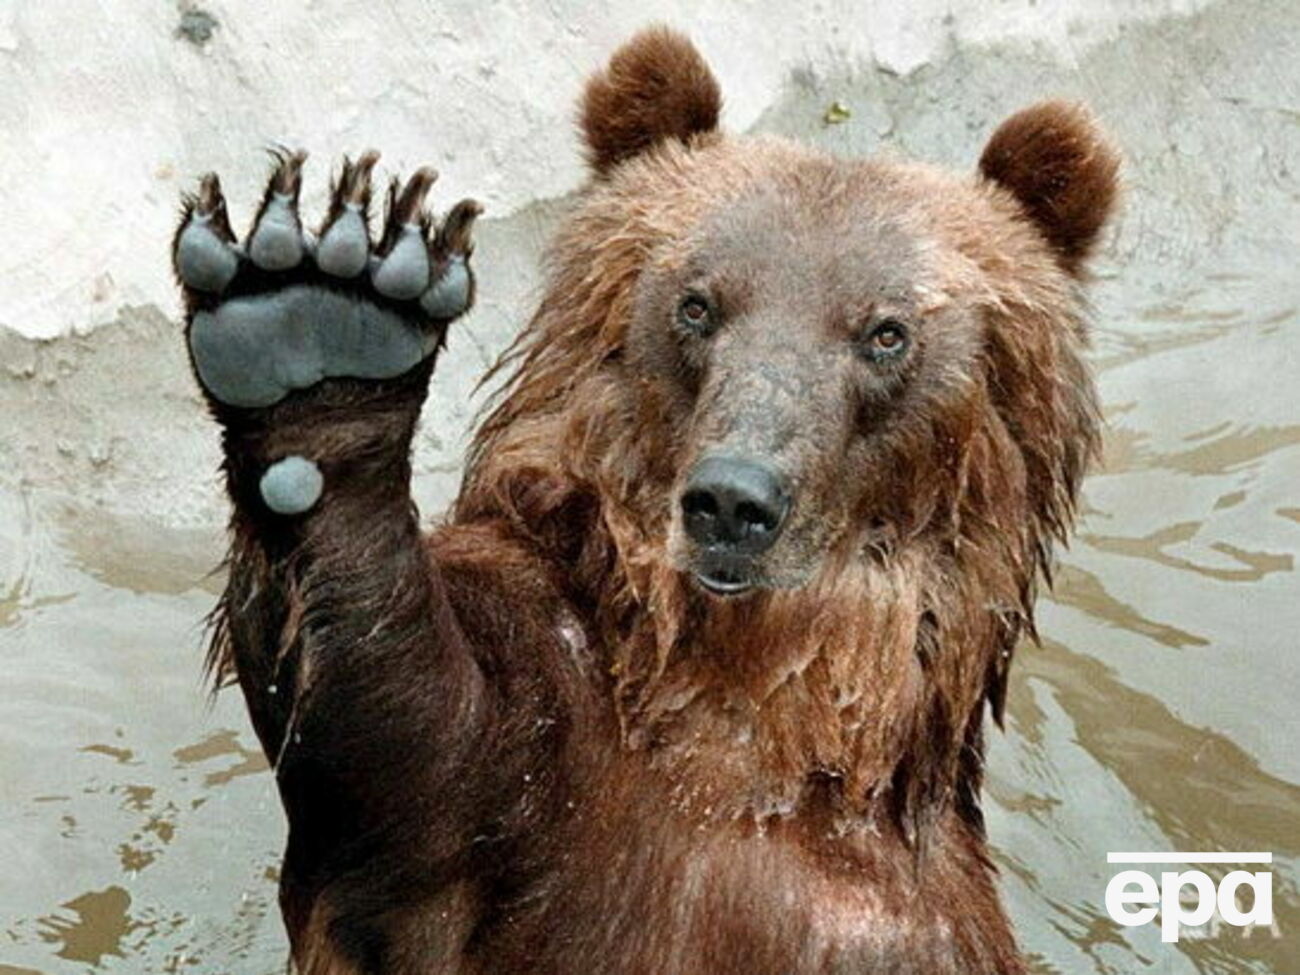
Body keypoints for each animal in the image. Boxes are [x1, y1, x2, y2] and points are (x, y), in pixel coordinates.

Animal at [171, 26, 1118, 975]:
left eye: (886, 332)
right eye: (697, 303)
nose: (734, 501)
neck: (746, 715)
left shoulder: (903, 916)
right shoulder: (531, 755)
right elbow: (400, 745)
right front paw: (316, 328)